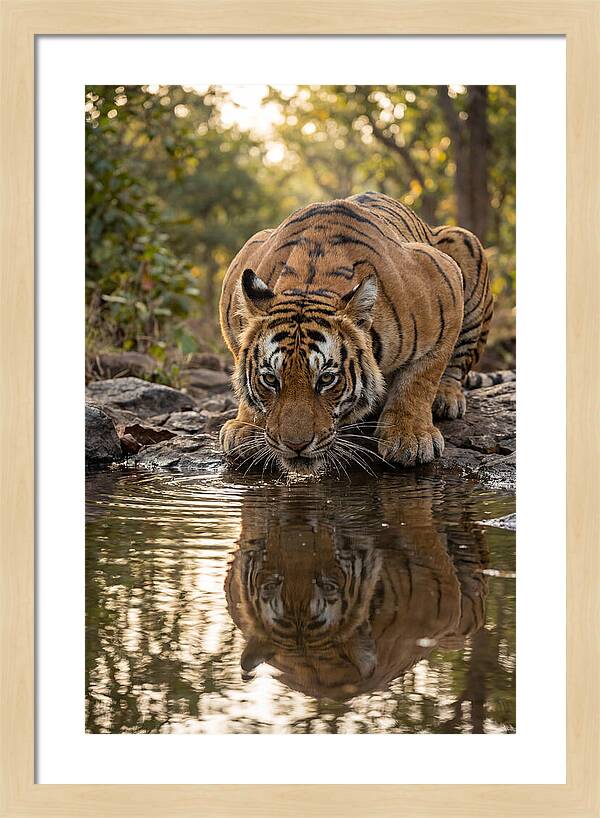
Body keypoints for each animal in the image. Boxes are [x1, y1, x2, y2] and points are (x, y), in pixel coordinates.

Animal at [219, 191, 494, 475]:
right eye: (270, 379)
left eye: (327, 379)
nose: (296, 445)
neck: (310, 283)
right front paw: (245, 427)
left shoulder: (444, 281)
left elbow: (421, 377)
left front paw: (410, 437)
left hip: (465, 242)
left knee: (457, 363)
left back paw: (446, 398)